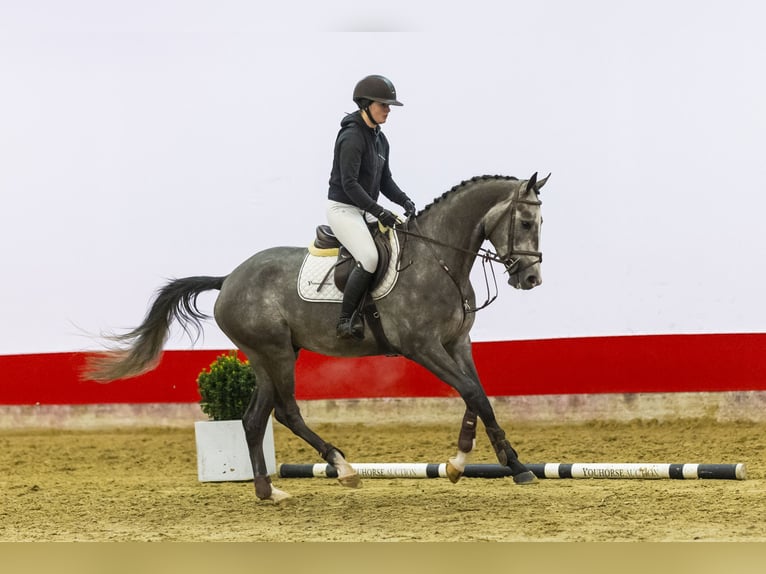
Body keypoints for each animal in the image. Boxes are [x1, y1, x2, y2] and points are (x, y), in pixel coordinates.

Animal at [87, 172, 548, 504]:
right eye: (526, 222)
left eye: (541, 223)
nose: (531, 279)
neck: (440, 259)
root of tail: (228, 278)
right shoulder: (423, 348)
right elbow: (472, 392)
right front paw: (509, 466)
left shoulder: (457, 344)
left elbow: (477, 395)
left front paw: (470, 461)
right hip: (274, 352)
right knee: (287, 412)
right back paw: (342, 469)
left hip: (269, 357)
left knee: (254, 419)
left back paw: (269, 491)